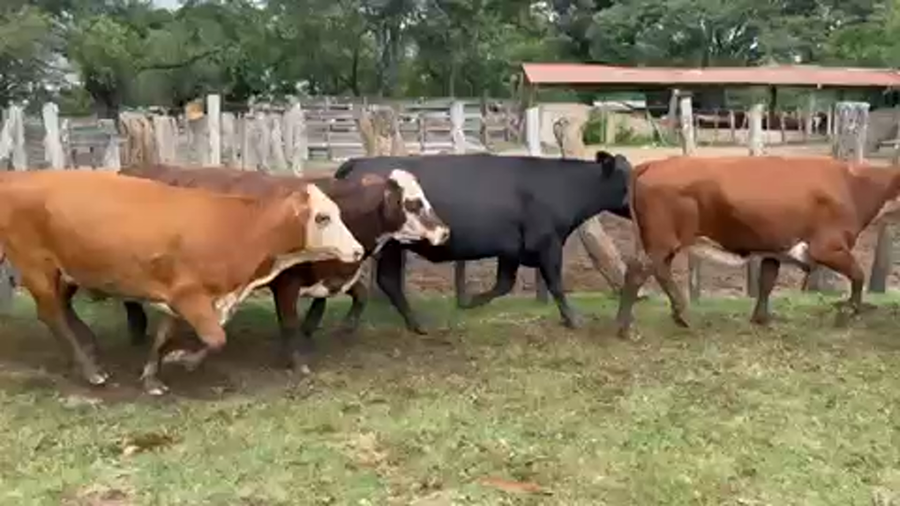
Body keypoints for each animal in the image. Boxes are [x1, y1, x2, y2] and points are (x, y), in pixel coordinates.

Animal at [0, 169, 363, 394]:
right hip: (36, 266)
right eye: (322, 217)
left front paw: (152, 378)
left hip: (65, 269)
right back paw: (91, 370)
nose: (359, 250)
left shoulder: (179, 298)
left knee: (61, 307)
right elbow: (215, 338)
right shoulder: (189, 295)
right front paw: (183, 360)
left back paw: (89, 346)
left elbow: (167, 337)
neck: (238, 228)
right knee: (51, 315)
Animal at [115, 163, 449, 371]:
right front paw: (297, 361)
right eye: (413, 203)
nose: (444, 231)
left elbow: (361, 294)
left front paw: (342, 327)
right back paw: (136, 331)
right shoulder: (286, 283)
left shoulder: (336, 274)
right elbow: (288, 322)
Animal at [333, 151, 634, 331]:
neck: (563, 187)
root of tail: (359, 161)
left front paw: (470, 301)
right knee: (384, 281)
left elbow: (504, 284)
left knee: (387, 281)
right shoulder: (548, 243)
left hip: (392, 247)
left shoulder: (512, 249)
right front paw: (573, 319)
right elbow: (557, 284)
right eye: (629, 178)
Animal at [615, 155, 900, 340]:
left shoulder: (774, 250)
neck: (854, 186)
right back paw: (628, 328)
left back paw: (672, 316)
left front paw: (762, 319)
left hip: (657, 242)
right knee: (640, 272)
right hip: (663, 241)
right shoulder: (827, 247)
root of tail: (654, 163)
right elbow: (858, 275)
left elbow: (767, 281)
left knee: (651, 271)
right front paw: (849, 311)